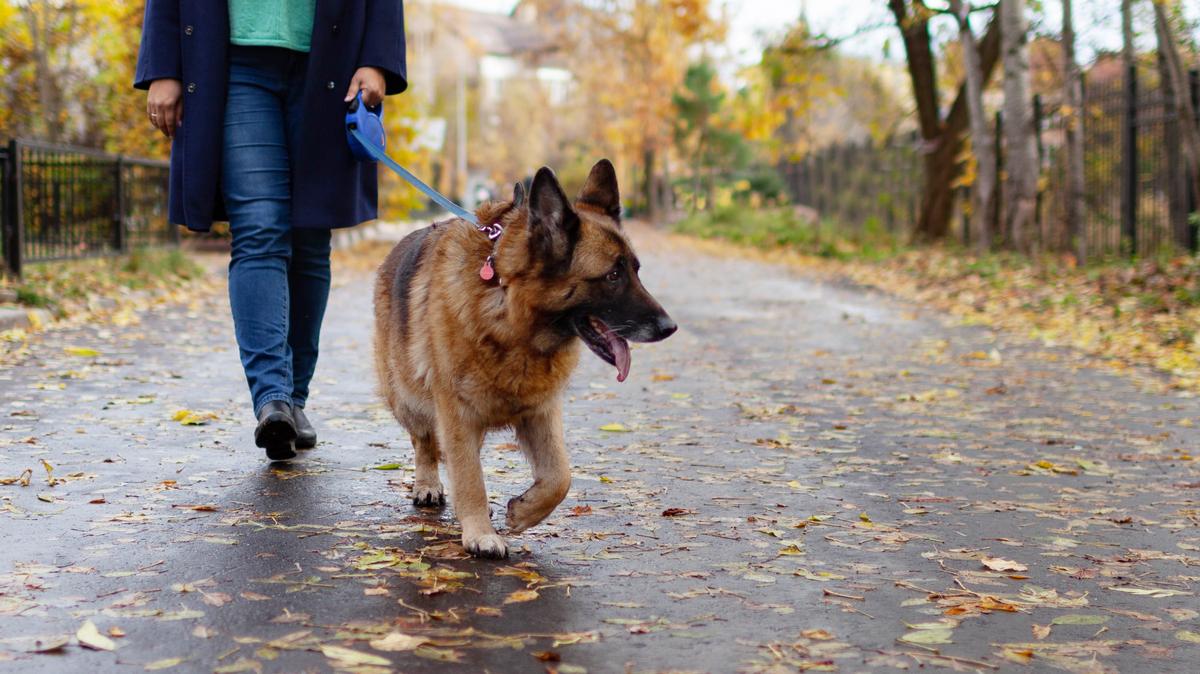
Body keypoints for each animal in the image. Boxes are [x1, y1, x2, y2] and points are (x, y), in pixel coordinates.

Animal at [374, 159, 676, 554]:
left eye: (637, 271)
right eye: (613, 275)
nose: (670, 327)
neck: (507, 305)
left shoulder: (541, 411)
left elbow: (561, 476)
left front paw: (524, 512)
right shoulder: (456, 414)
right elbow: (469, 476)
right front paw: (480, 533)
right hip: (406, 398)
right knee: (424, 441)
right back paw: (428, 484)